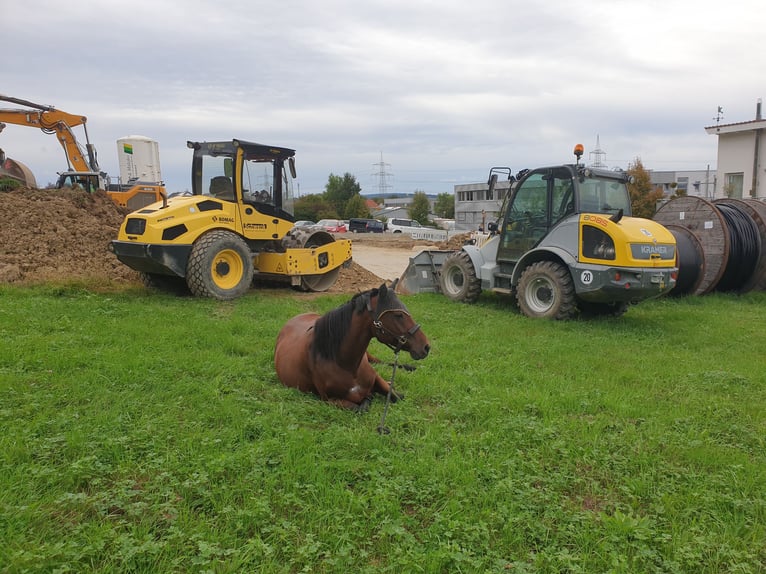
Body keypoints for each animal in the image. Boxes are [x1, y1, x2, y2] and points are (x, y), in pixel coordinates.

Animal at [276, 282, 432, 412]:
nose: (426, 347)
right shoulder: (331, 400)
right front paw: (368, 398)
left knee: (380, 362)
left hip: (368, 355)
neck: (347, 365)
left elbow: (395, 395)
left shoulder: (376, 378)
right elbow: (361, 407)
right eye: (398, 315)